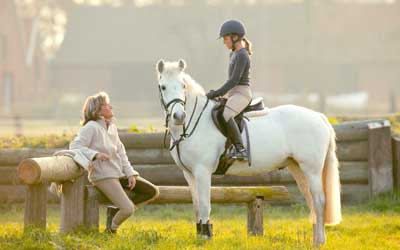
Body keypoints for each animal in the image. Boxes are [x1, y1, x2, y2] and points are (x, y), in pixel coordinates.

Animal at [155, 59, 340, 246]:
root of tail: (319, 116)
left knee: (319, 200)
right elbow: (197, 206)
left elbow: (206, 205)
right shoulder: (189, 173)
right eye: (163, 87)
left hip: (312, 169)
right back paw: (315, 240)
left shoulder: (202, 171)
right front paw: (200, 236)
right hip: (297, 168)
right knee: (311, 200)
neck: (193, 124)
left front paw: (207, 237)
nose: (179, 116)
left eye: (183, 86)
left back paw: (320, 241)